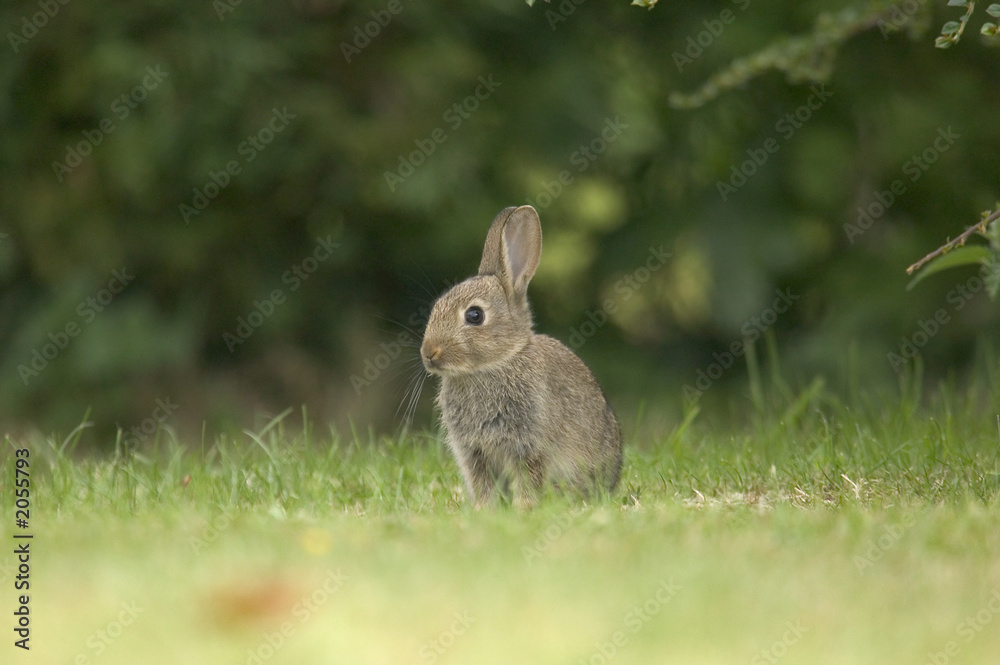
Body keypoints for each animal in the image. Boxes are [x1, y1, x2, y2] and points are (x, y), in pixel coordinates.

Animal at [420, 205, 623, 508]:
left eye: (475, 315)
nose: (428, 352)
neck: (496, 364)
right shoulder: (474, 452)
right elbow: (483, 484)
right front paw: (483, 510)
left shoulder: (530, 445)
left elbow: (529, 479)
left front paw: (523, 509)